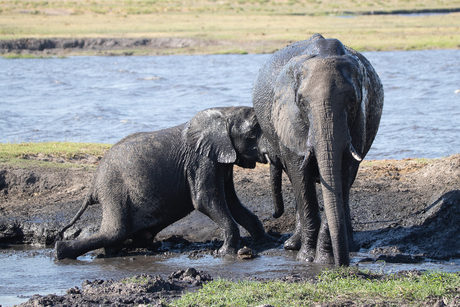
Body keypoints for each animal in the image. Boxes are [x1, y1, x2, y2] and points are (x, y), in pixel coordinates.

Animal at [54, 107, 272, 262]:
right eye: (253, 132)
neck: (225, 112)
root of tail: (92, 186)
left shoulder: (221, 162)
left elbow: (232, 202)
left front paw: (265, 241)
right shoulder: (201, 160)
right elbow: (205, 200)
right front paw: (225, 253)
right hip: (113, 189)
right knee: (114, 232)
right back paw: (59, 251)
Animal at [253, 32, 382, 266]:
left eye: (352, 100)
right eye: (302, 102)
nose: (344, 264)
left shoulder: (359, 120)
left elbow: (342, 176)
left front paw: (324, 260)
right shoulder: (290, 119)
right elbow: (300, 177)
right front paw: (306, 258)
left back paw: (350, 246)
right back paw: (293, 245)